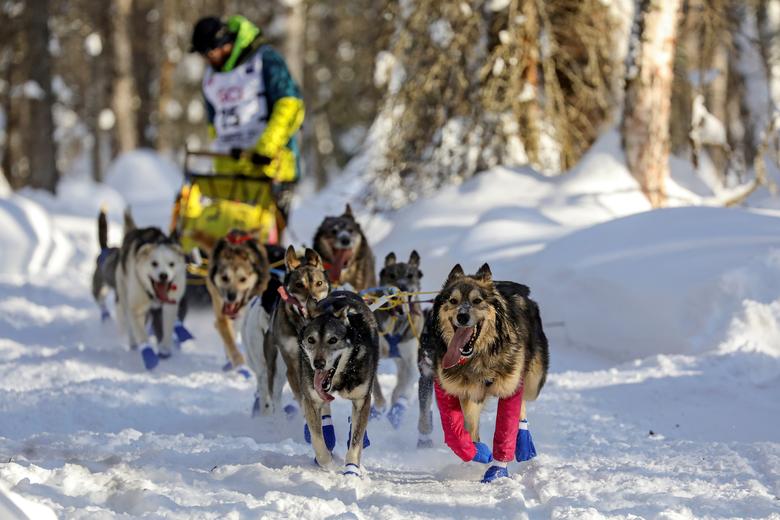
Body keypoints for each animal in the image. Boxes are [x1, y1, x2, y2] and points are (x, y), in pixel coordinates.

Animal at [113, 223, 187, 370]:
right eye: (154, 263)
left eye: (171, 264)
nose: (163, 275)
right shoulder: (136, 308)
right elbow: (141, 334)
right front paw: (148, 355)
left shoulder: (170, 305)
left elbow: (167, 327)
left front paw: (164, 349)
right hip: (124, 294)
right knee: (131, 327)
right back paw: (134, 344)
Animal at [207, 230, 272, 376]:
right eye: (225, 277)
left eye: (243, 279)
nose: (231, 296)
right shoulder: (222, 315)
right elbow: (229, 339)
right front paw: (239, 362)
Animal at [300, 290, 380, 478]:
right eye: (311, 340)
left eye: (333, 340)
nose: (318, 363)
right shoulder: (311, 399)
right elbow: (317, 439)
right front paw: (327, 463)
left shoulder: (362, 399)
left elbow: (356, 441)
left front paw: (351, 469)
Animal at [420, 264, 548, 484]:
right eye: (452, 301)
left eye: (477, 301)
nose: (462, 316)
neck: (478, 357)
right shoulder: (453, 389)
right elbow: (457, 434)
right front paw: (477, 453)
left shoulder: (510, 386)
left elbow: (506, 429)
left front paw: (497, 471)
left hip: (533, 381)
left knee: (523, 401)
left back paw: (524, 443)